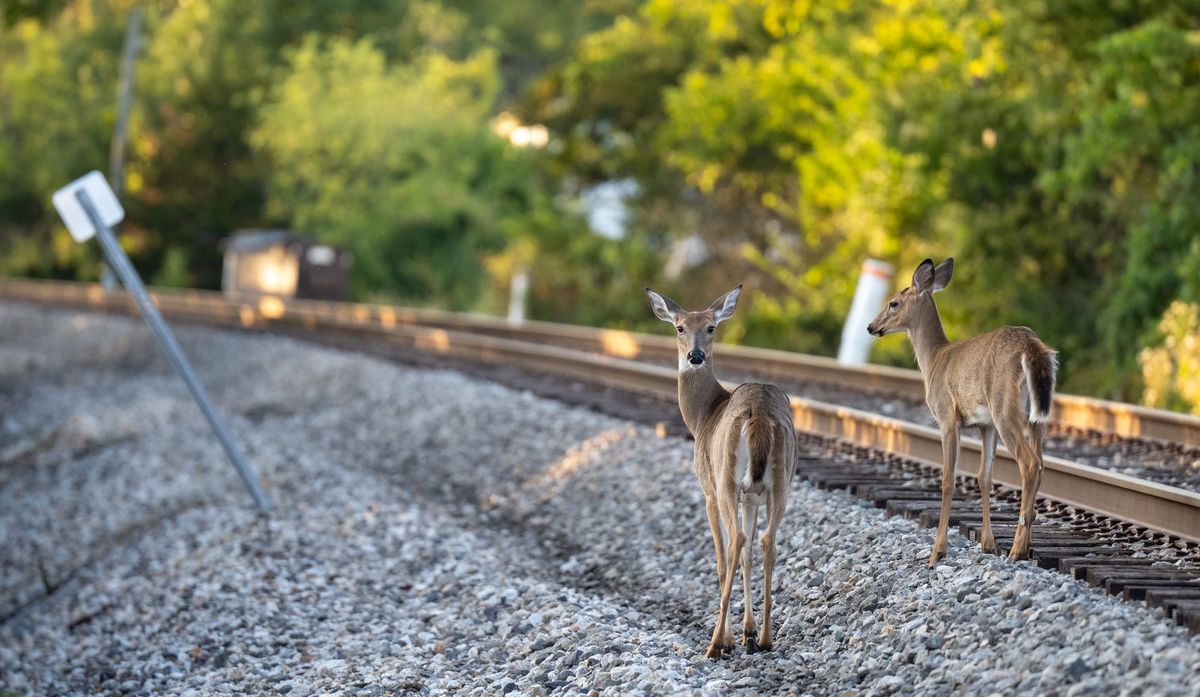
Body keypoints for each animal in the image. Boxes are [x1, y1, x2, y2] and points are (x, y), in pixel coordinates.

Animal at [645, 285, 796, 659]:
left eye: (711, 327)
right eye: (680, 327)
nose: (695, 356)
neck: (703, 416)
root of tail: (759, 413)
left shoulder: (708, 488)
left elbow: (722, 557)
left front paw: (730, 637)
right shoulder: (752, 495)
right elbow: (748, 558)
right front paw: (748, 631)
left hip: (727, 480)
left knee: (735, 542)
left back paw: (714, 643)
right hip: (780, 482)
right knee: (766, 542)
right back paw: (766, 638)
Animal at [867, 258, 1057, 565]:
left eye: (894, 303)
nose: (871, 327)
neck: (934, 360)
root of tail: (1032, 346)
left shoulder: (947, 417)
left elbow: (948, 478)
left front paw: (937, 552)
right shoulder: (985, 425)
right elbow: (984, 477)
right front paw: (988, 545)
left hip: (1005, 407)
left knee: (1030, 464)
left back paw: (1016, 549)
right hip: (1035, 416)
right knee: (1040, 463)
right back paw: (1025, 545)